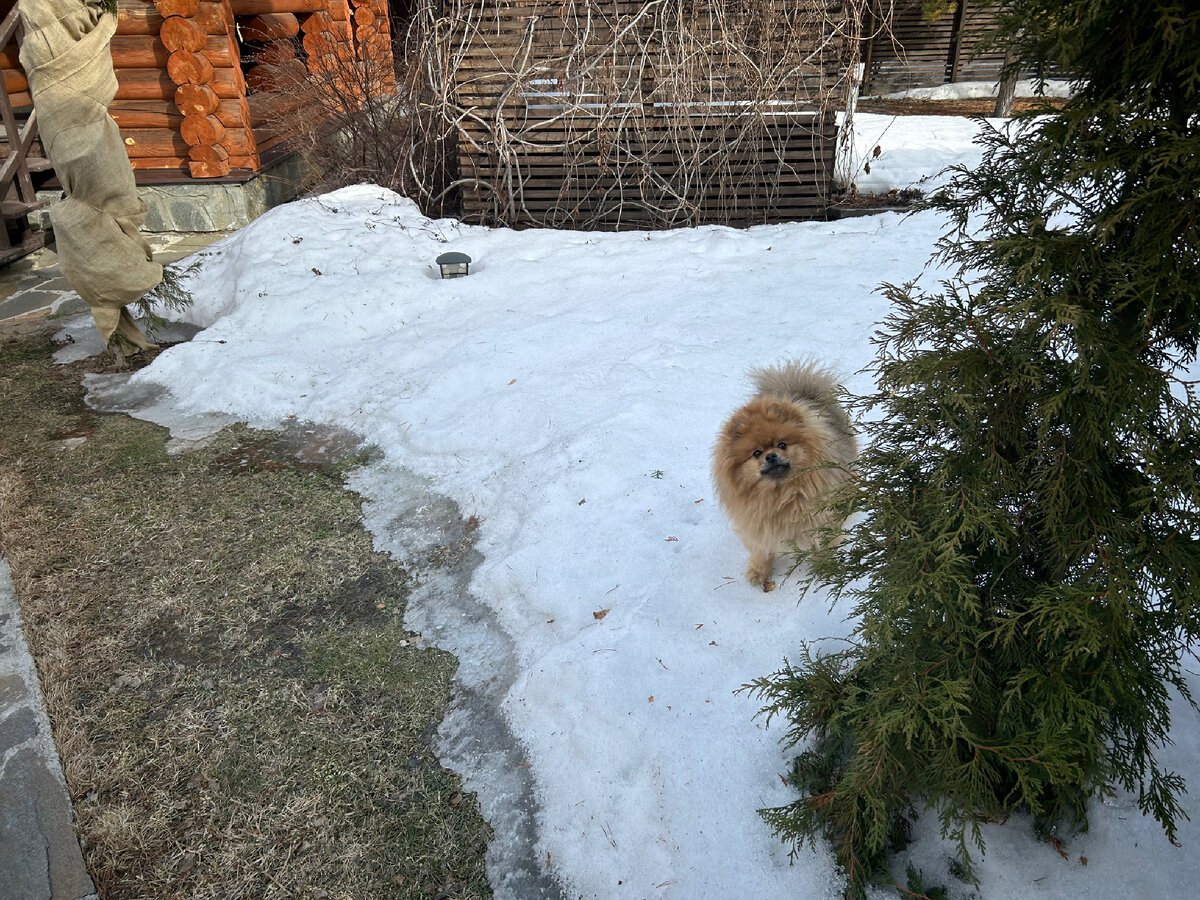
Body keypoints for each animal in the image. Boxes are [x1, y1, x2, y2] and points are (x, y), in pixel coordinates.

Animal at [710, 362, 854, 595]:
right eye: (756, 453)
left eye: (782, 444)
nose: (771, 456)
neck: (783, 492)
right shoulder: (757, 525)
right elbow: (761, 552)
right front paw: (758, 572)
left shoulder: (821, 519)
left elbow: (822, 543)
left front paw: (823, 566)